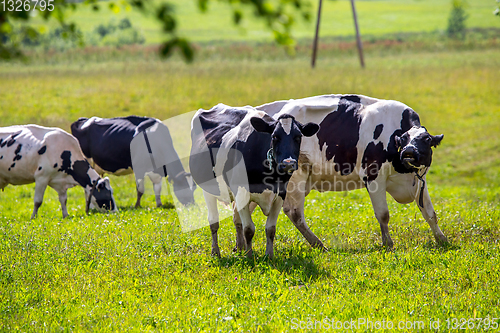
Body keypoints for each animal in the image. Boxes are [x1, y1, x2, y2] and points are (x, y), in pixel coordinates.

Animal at [189, 104, 318, 256]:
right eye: (275, 136)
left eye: (298, 137)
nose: (288, 164)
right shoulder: (241, 193)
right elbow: (249, 229)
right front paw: (249, 256)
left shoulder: (281, 194)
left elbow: (270, 229)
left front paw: (269, 256)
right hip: (208, 189)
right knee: (214, 222)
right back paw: (216, 252)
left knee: (236, 219)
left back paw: (240, 247)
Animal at [256, 93, 448, 249]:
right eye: (403, 139)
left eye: (426, 139)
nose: (408, 152)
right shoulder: (373, 176)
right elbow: (383, 214)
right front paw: (388, 243)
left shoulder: (419, 181)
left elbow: (430, 213)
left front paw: (441, 239)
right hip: (297, 177)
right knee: (294, 212)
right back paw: (318, 244)